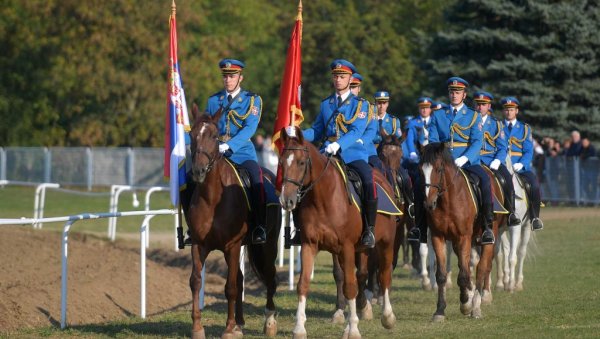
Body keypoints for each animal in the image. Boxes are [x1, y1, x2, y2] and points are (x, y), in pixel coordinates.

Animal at [183, 105, 282, 338]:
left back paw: (269, 322)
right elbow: (196, 281)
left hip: (267, 245)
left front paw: (228, 329)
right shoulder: (199, 245)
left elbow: (230, 287)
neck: (212, 198)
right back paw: (239, 322)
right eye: (192, 135)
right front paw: (197, 327)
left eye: (214, 135)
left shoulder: (232, 245)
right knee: (241, 279)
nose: (198, 171)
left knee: (270, 277)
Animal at [280, 127, 398, 339]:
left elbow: (350, 287)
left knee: (384, 275)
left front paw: (353, 329)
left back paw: (387, 316)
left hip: (386, 243)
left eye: (301, 162)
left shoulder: (347, 247)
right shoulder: (310, 245)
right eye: (281, 162)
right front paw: (299, 328)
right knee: (360, 274)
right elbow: (303, 284)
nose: (286, 200)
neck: (323, 197)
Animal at [420, 143, 504, 322]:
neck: (447, 201)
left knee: (481, 267)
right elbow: (442, 275)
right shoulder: (438, 237)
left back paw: (476, 305)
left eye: (439, 169)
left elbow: (464, 275)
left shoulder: (463, 237)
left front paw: (466, 304)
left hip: (487, 236)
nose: (429, 204)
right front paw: (440, 310)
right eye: (420, 170)